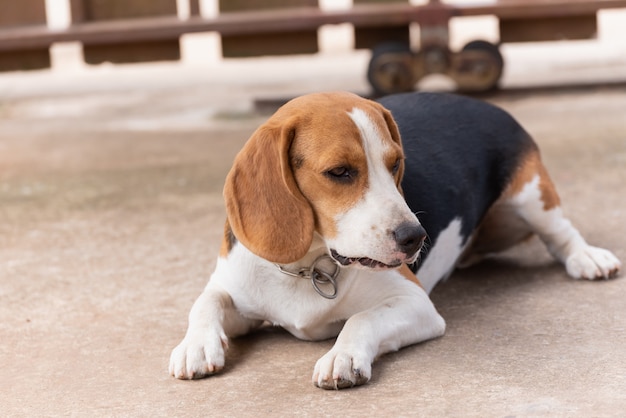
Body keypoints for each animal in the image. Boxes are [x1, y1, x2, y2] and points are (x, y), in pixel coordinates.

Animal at [167, 90, 620, 388]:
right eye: (339, 172)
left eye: (396, 163)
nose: (415, 238)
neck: (309, 266)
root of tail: (482, 102)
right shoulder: (236, 288)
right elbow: (205, 301)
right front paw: (196, 346)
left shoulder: (417, 304)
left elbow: (361, 318)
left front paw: (343, 355)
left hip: (532, 198)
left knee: (562, 234)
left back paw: (588, 258)